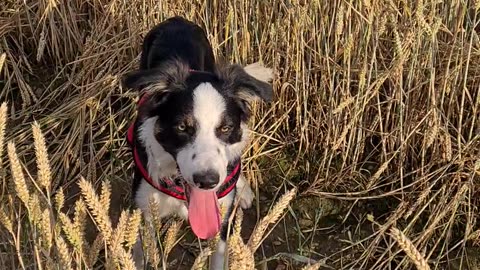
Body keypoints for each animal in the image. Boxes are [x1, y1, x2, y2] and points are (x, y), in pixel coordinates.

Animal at [122, 16, 274, 270]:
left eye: (225, 128)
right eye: (182, 128)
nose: (207, 181)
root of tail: (176, 20)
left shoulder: (221, 224)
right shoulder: (144, 212)